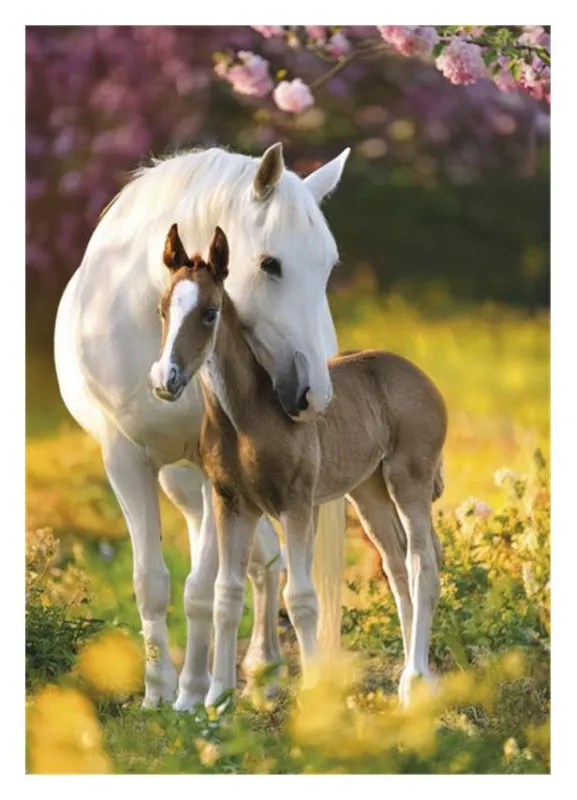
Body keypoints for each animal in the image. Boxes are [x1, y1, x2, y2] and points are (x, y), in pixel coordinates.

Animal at [54, 143, 350, 709]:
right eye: (270, 264)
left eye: (327, 267)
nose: (314, 396)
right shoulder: (126, 460)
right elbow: (152, 583)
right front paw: (156, 695)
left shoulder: (218, 470)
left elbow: (200, 588)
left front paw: (192, 695)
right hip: (183, 483)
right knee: (259, 560)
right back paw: (252, 672)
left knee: (260, 565)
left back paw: (255, 672)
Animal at [150, 224, 447, 708]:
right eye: (162, 309)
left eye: (210, 313)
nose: (165, 379)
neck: (247, 417)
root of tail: (419, 375)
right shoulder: (232, 503)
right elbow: (226, 593)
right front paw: (216, 700)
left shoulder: (296, 503)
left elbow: (302, 598)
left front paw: (315, 696)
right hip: (369, 492)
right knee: (397, 566)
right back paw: (418, 678)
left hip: (410, 480)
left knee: (423, 564)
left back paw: (415, 681)